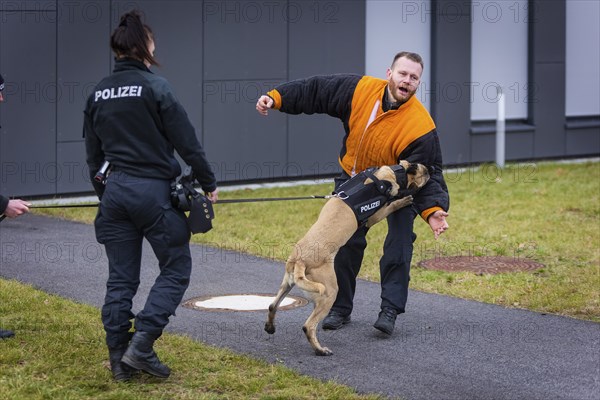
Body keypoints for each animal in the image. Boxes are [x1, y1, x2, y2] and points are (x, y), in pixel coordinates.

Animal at [264, 161, 428, 354]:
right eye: (425, 171)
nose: (432, 171)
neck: (386, 175)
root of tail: (300, 261)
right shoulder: (375, 216)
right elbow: (392, 204)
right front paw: (403, 200)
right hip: (330, 291)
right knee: (308, 326)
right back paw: (320, 350)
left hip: (287, 285)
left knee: (272, 306)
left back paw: (270, 327)